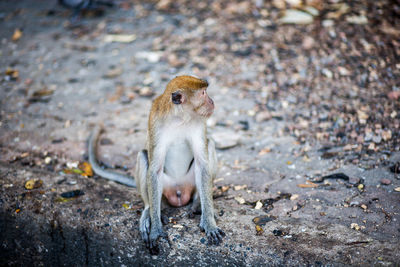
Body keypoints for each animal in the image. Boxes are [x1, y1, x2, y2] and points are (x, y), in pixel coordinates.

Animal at [88, 75, 225, 251]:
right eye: (203, 93)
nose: (212, 101)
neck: (180, 119)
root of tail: (179, 192)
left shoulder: (199, 122)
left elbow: (202, 165)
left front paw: (208, 222)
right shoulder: (156, 124)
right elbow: (154, 169)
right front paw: (156, 229)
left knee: (210, 144)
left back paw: (196, 203)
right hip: (165, 187)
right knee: (143, 156)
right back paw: (151, 212)